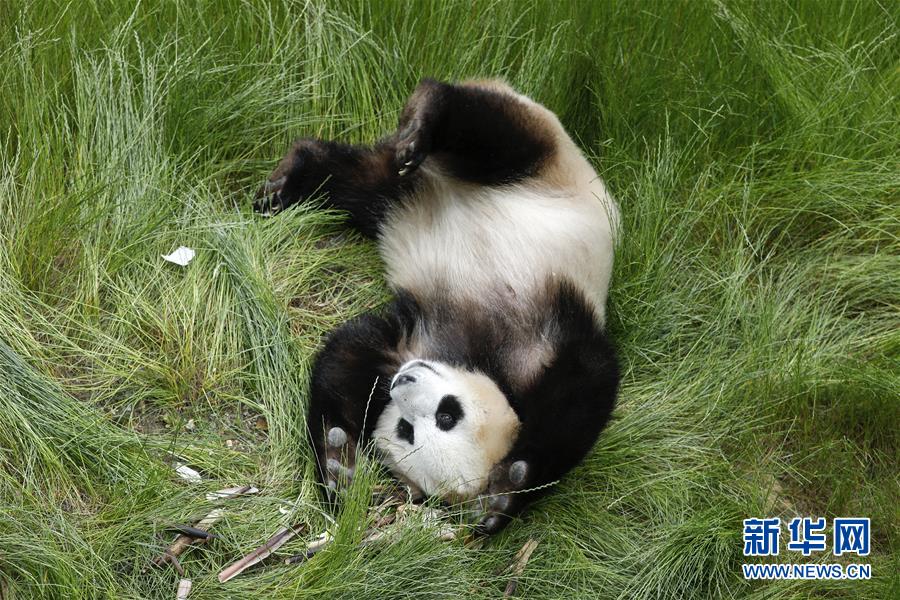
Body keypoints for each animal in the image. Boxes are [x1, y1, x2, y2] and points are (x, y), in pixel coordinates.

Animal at [255, 78, 620, 534]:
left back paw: (297, 172)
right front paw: (339, 461)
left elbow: (353, 350)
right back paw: (417, 122)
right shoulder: (510, 328)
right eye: (450, 413)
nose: (405, 381)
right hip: (537, 164)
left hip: (394, 198)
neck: (480, 360)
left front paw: (503, 494)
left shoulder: (424, 342)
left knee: (354, 179)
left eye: (412, 428)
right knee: (487, 131)